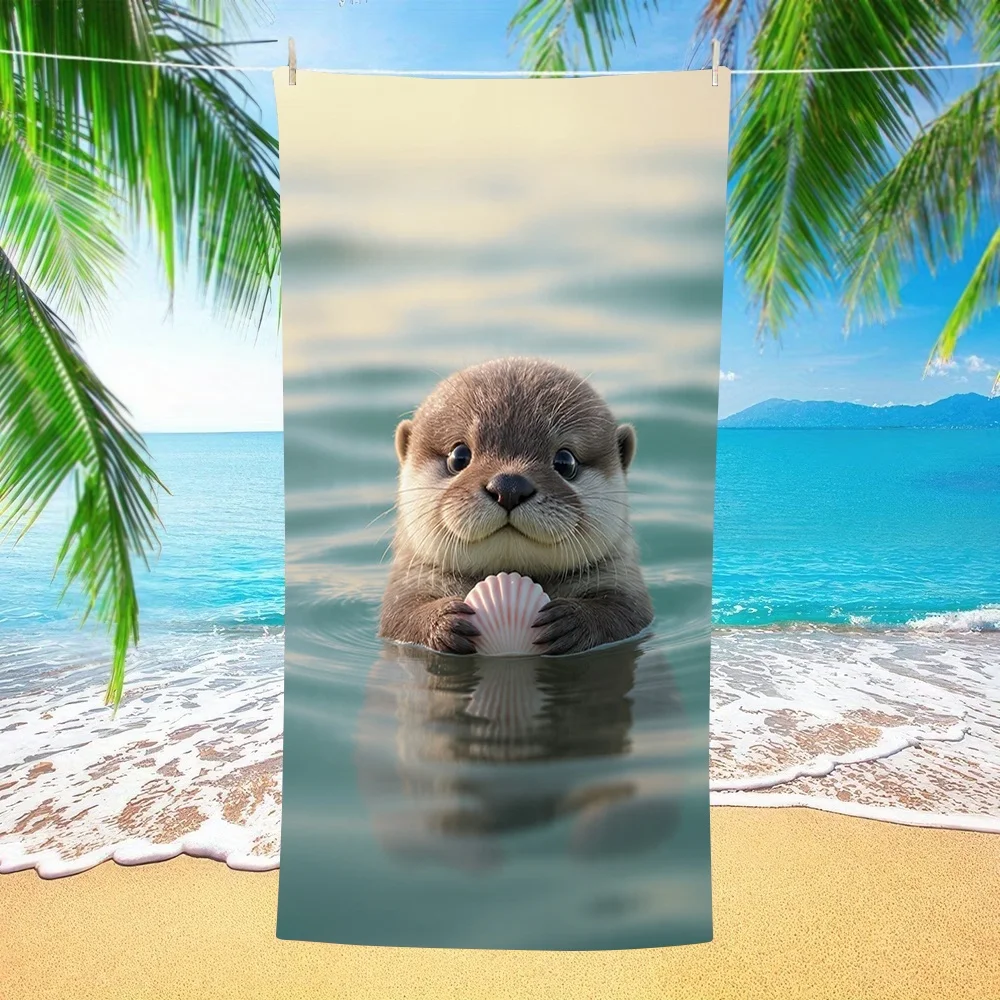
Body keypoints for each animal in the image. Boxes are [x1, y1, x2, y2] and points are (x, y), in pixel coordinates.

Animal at [378, 357, 654, 655]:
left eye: (565, 461)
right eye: (459, 456)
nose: (509, 487)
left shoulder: (623, 584)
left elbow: (622, 612)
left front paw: (573, 620)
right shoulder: (406, 585)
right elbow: (402, 615)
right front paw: (442, 621)